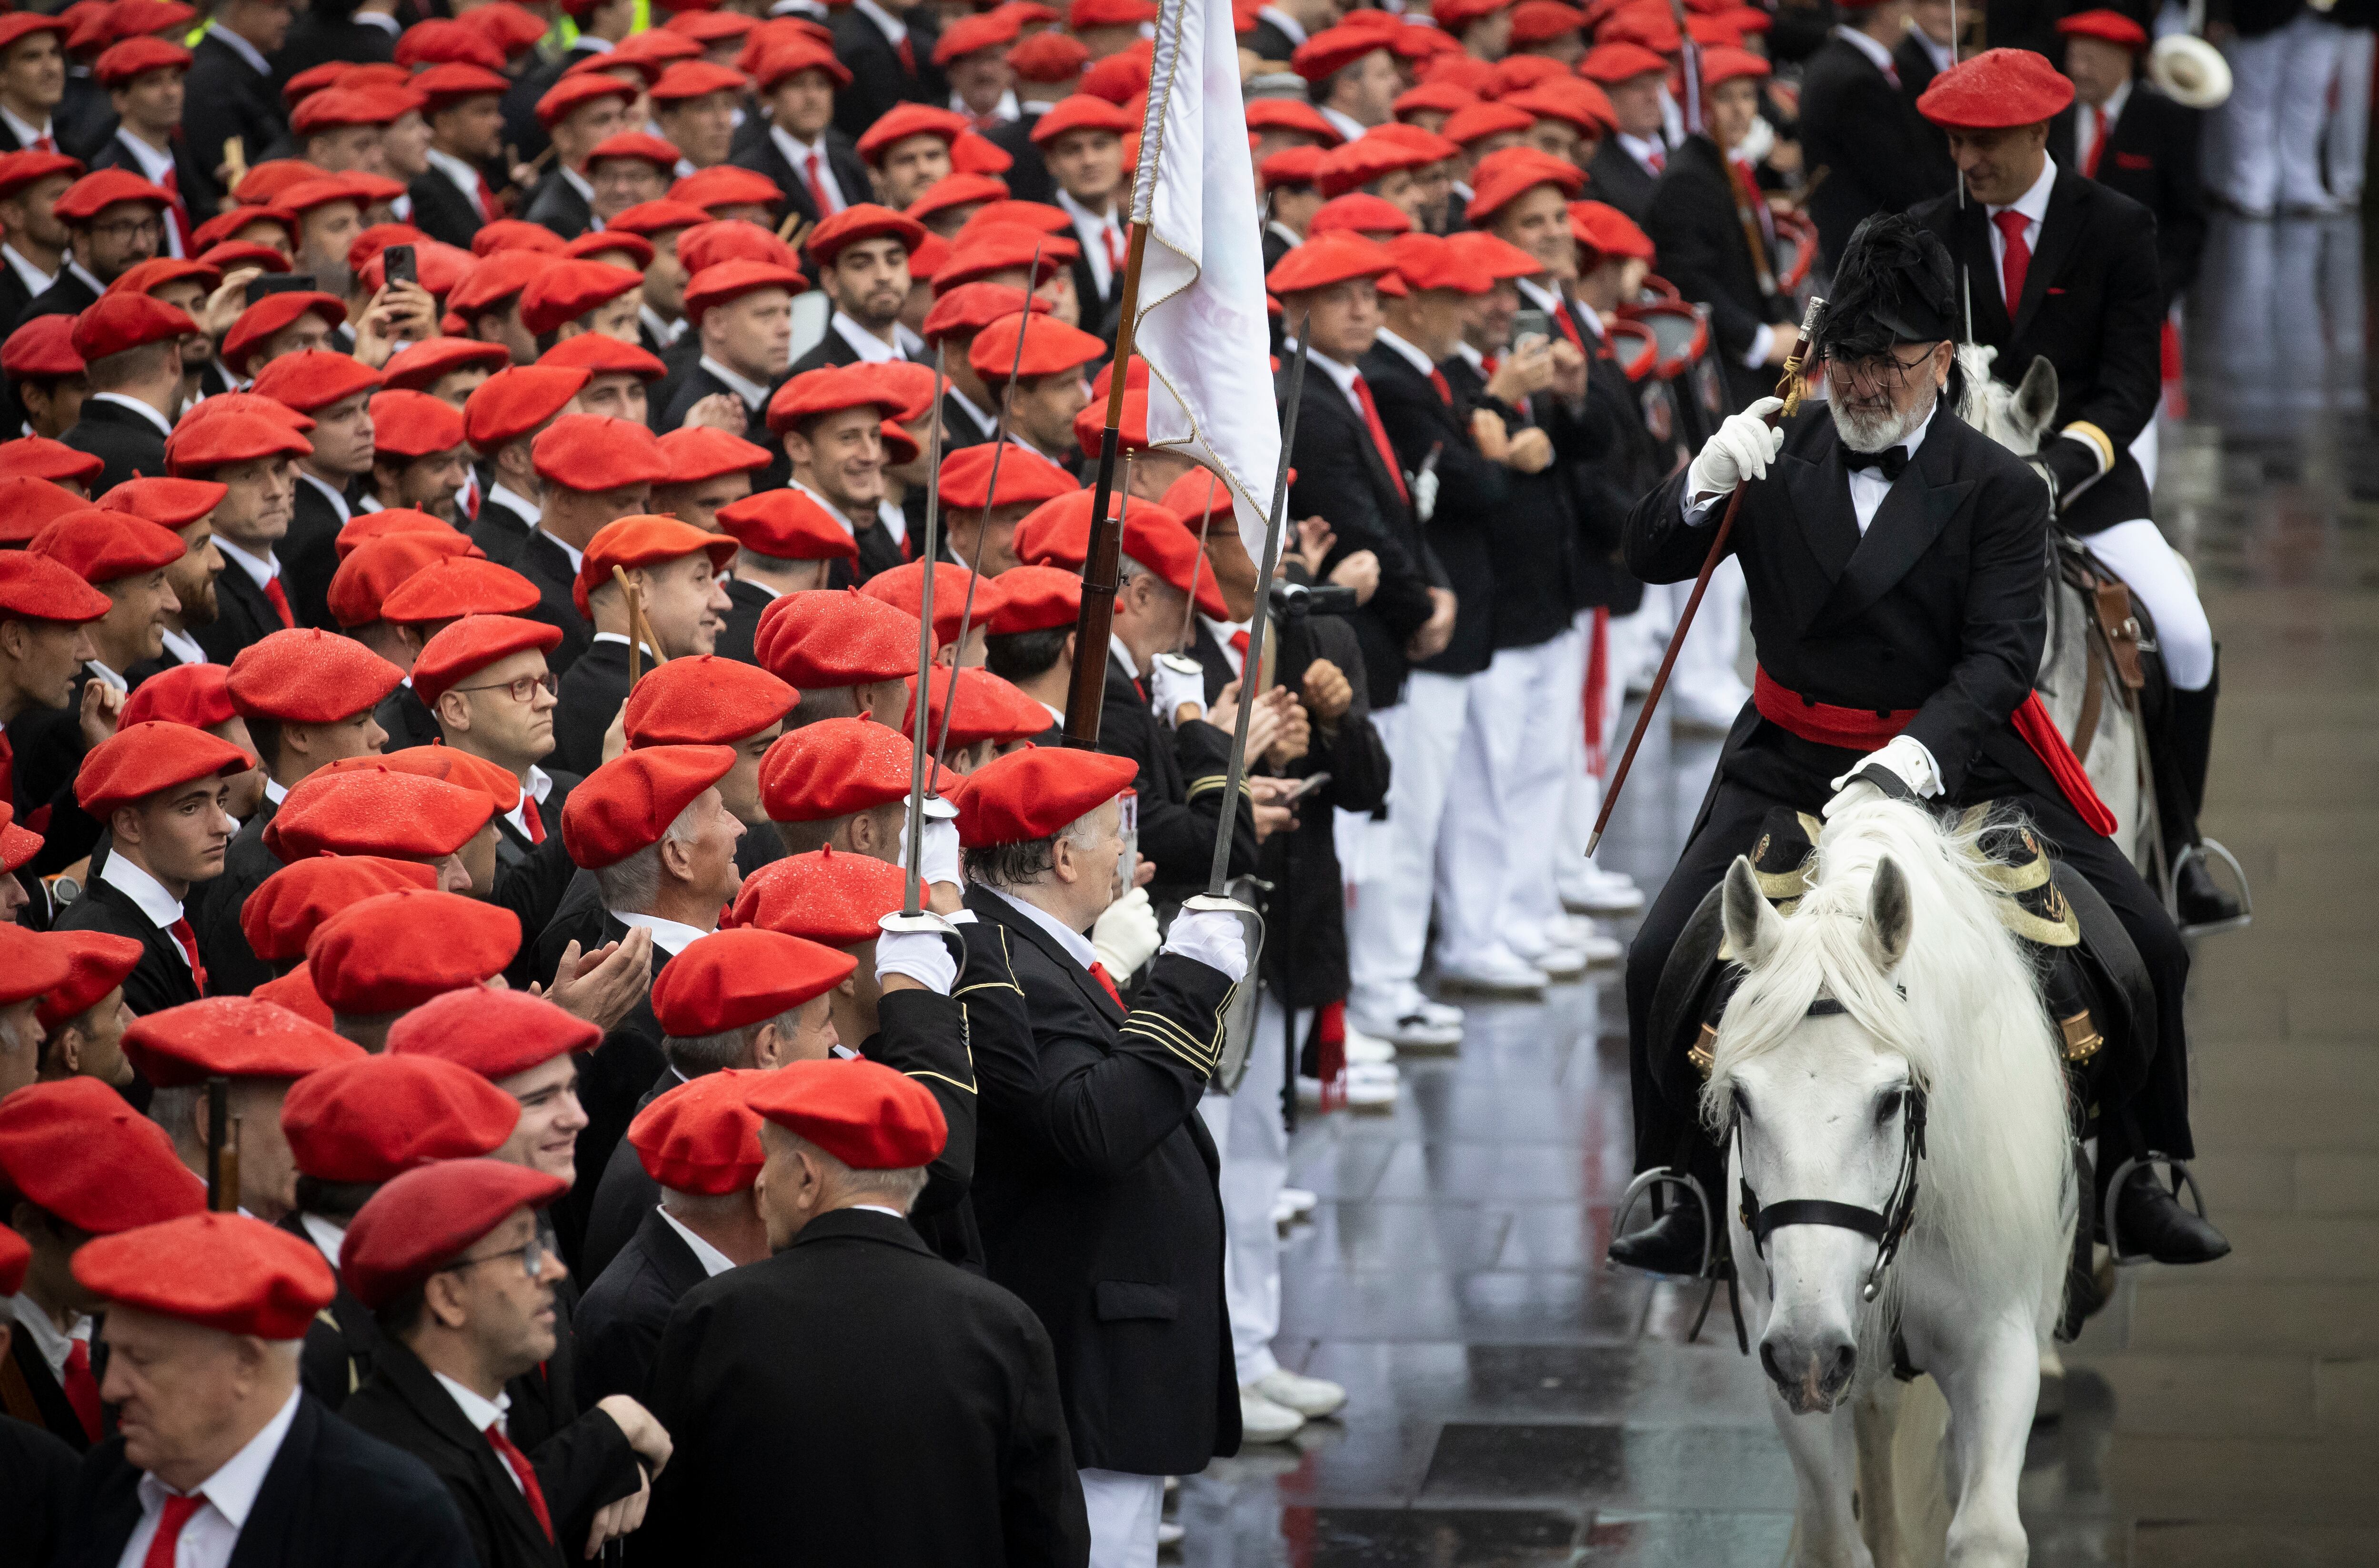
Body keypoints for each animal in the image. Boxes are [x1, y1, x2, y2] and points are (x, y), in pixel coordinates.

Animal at [1703, 804, 2074, 1561]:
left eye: (1888, 1100)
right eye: (1743, 1099)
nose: (1807, 1354)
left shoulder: (1997, 1344)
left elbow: (1987, 1532)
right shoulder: (1785, 1347)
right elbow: (1832, 1535)